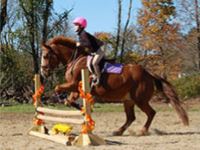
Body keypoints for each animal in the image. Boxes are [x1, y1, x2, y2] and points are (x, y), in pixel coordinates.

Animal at [41, 36, 189, 136]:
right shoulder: (75, 90)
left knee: (151, 113)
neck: (75, 60)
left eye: (46, 55)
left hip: (140, 100)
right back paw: (118, 131)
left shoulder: (73, 85)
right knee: (131, 117)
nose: (43, 72)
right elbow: (69, 101)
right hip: (128, 100)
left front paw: (83, 108)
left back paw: (142, 131)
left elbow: (58, 89)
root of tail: (148, 73)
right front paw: (82, 109)